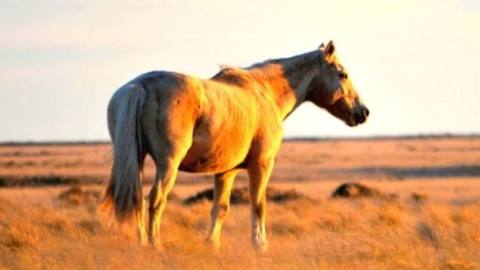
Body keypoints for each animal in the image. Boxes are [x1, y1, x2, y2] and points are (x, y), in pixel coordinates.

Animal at [103, 41, 370, 252]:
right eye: (343, 74)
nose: (363, 112)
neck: (264, 92)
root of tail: (139, 86)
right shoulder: (261, 164)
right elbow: (259, 204)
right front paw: (260, 245)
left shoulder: (226, 171)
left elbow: (220, 208)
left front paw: (212, 245)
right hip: (168, 164)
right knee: (156, 200)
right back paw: (154, 245)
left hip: (136, 160)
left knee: (137, 199)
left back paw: (142, 243)